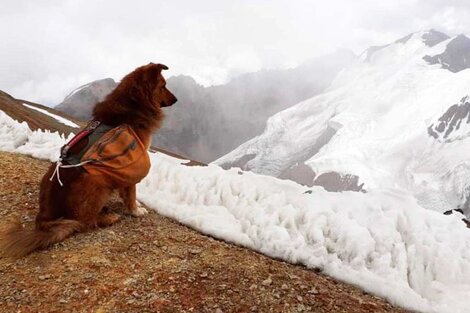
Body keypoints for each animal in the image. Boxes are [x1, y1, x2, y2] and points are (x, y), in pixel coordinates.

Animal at [0, 62, 176, 256]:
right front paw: (136, 210)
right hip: (94, 181)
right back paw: (108, 217)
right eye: (163, 86)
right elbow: (130, 192)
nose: (176, 100)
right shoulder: (131, 160)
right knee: (84, 223)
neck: (134, 104)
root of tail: (44, 218)